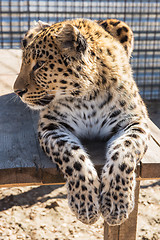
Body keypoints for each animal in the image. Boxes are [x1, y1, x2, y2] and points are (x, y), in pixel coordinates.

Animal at [13, 18, 150, 225]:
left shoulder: (135, 121)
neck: (87, 96)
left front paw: (116, 205)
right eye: (23, 62)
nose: (17, 91)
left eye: (40, 64)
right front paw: (85, 205)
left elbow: (124, 153)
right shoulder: (51, 125)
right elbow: (72, 156)